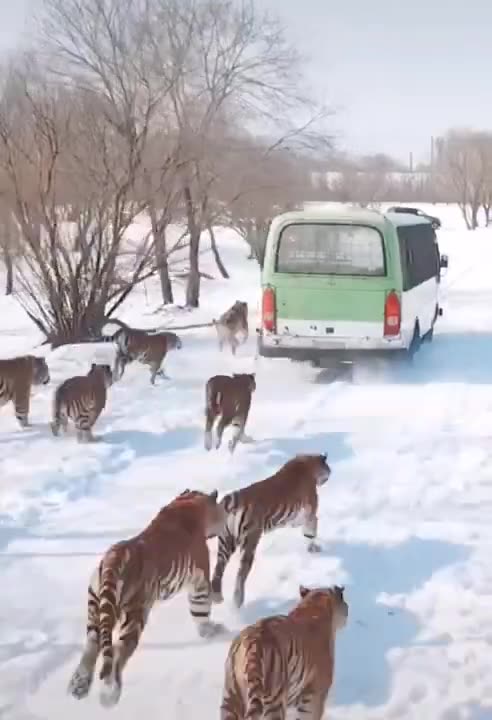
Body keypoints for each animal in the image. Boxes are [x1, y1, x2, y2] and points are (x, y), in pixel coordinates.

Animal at [67, 489, 226, 708]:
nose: (225, 523)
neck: (189, 504)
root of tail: (115, 556)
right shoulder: (199, 581)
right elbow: (201, 613)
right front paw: (212, 629)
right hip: (135, 616)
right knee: (118, 653)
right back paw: (109, 695)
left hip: (95, 606)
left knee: (92, 645)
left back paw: (78, 685)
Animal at [211, 453, 331, 608]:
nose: (329, 475)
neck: (309, 463)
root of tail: (233, 501)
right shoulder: (310, 510)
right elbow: (311, 531)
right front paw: (314, 548)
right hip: (250, 539)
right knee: (242, 571)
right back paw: (238, 600)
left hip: (225, 540)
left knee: (218, 568)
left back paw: (216, 597)